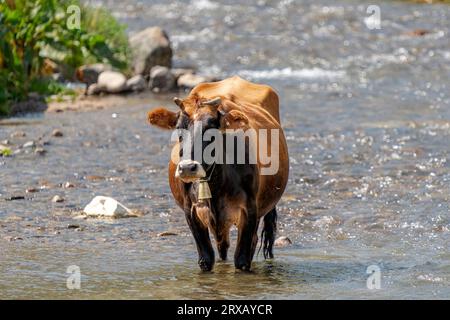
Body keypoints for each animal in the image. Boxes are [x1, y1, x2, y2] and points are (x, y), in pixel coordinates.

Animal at [147, 76, 288, 272]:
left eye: (211, 128)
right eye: (178, 128)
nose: (188, 168)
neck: (216, 184)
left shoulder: (250, 211)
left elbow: (242, 260)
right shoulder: (190, 210)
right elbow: (206, 259)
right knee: (223, 246)